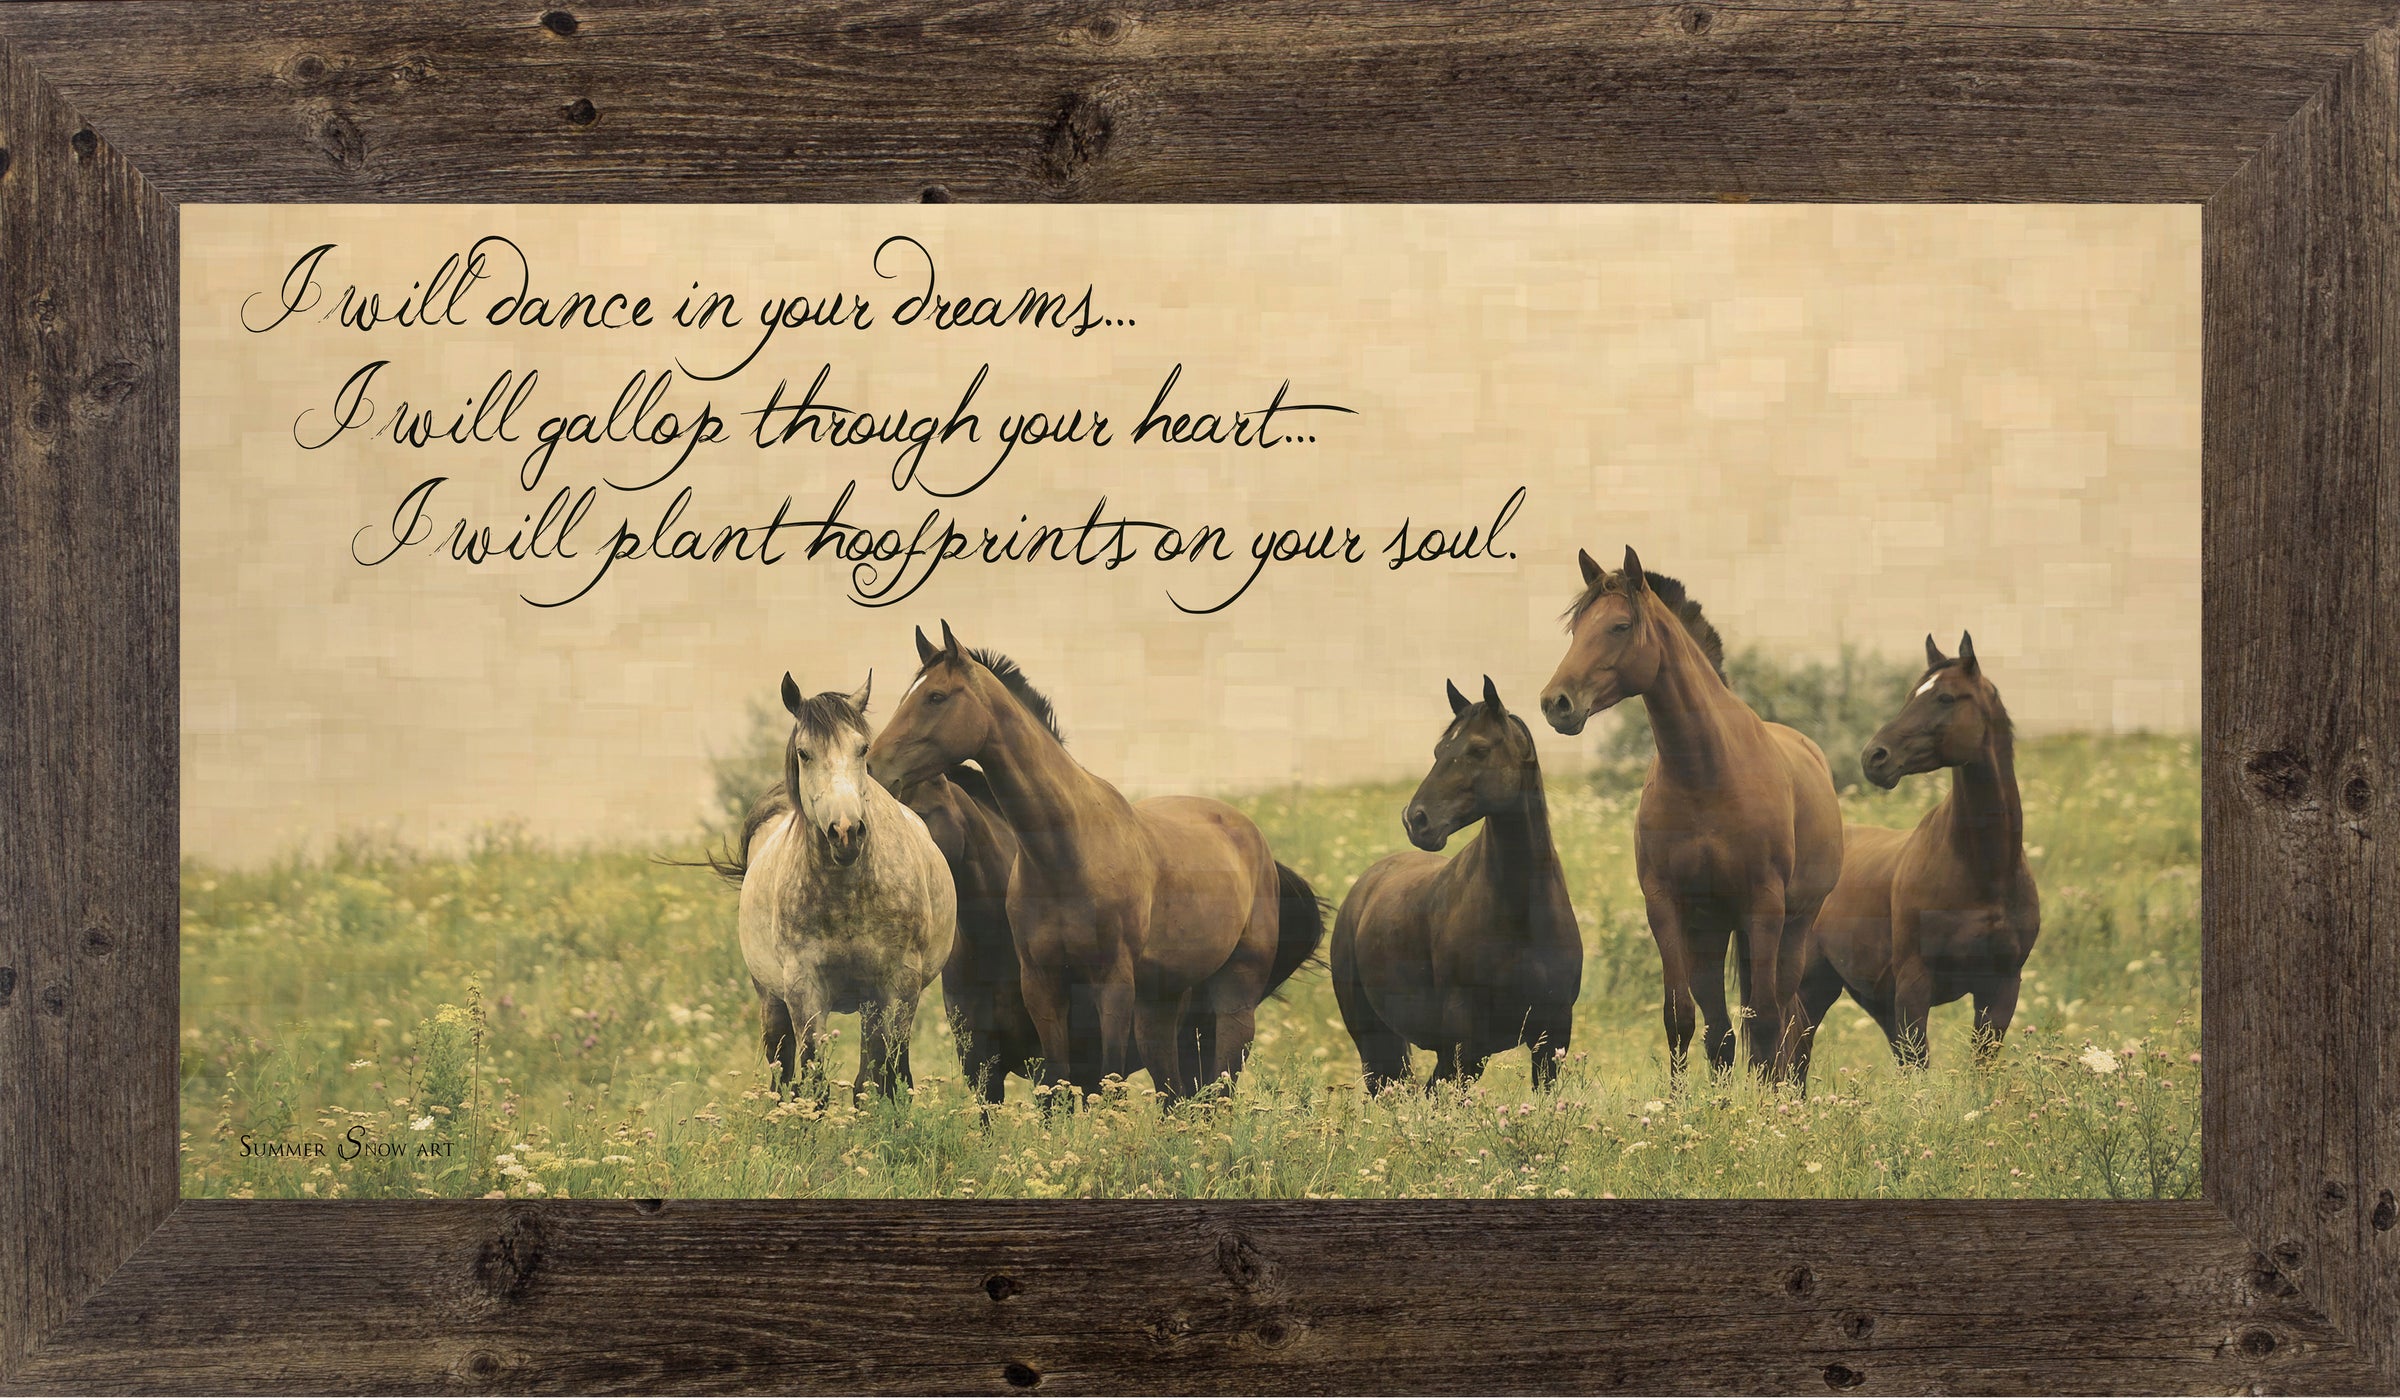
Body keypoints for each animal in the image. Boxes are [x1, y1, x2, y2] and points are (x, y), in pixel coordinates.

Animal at [712, 672, 956, 1103]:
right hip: (772, 1000)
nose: (845, 833)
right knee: (781, 1073)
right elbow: (814, 1081)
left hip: (872, 1003)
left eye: (861, 749)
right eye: (805, 753)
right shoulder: (804, 989)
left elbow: (890, 1077)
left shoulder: (898, 986)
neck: (847, 896)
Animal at [866, 622, 1326, 1103]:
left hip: (1233, 1001)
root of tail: (1256, 843)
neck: (1066, 856)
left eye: (935, 696)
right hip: (1160, 1011)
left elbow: (1108, 1083)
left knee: (1219, 1091)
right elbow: (1056, 1085)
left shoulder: (1112, 986)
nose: (873, 766)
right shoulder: (1042, 988)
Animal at [1330, 677, 1582, 1093]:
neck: (1522, 917)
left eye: (1478, 749)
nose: (1416, 820)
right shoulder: (1466, 1041)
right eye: (1438, 750)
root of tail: (1364, 886)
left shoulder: (1551, 1037)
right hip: (1376, 1040)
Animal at [1539, 547, 1843, 1080]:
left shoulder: (1764, 906)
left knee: (1787, 1017)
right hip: (1711, 930)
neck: (1706, 775)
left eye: (1619, 626)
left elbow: (1766, 1021)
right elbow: (1681, 1018)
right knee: (1723, 1029)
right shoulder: (1666, 906)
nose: (1556, 703)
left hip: (1794, 925)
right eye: (1576, 630)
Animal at [1793, 633, 2040, 1081]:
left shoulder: (2000, 987)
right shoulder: (1914, 986)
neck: (1984, 871)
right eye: (1911, 695)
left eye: (1945, 697)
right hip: (1810, 986)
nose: (1874, 757)